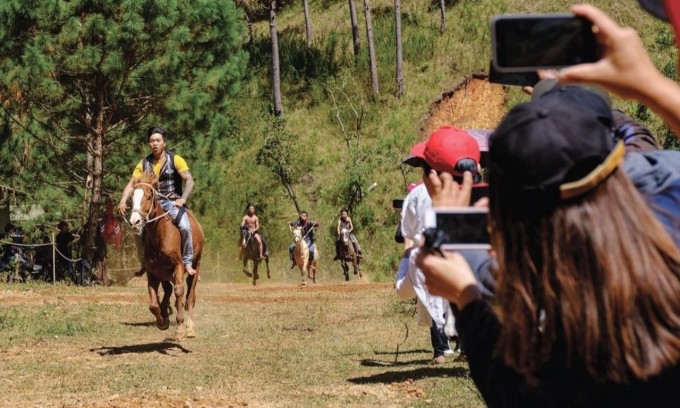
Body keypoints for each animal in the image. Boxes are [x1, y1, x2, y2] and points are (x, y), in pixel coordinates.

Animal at [127, 173, 202, 342]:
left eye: (148, 197)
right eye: (131, 198)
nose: (135, 221)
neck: (159, 235)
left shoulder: (178, 266)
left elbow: (179, 292)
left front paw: (180, 329)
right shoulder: (152, 272)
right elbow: (153, 303)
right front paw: (162, 321)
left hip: (195, 266)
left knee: (190, 296)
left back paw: (190, 328)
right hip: (164, 273)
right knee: (168, 290)